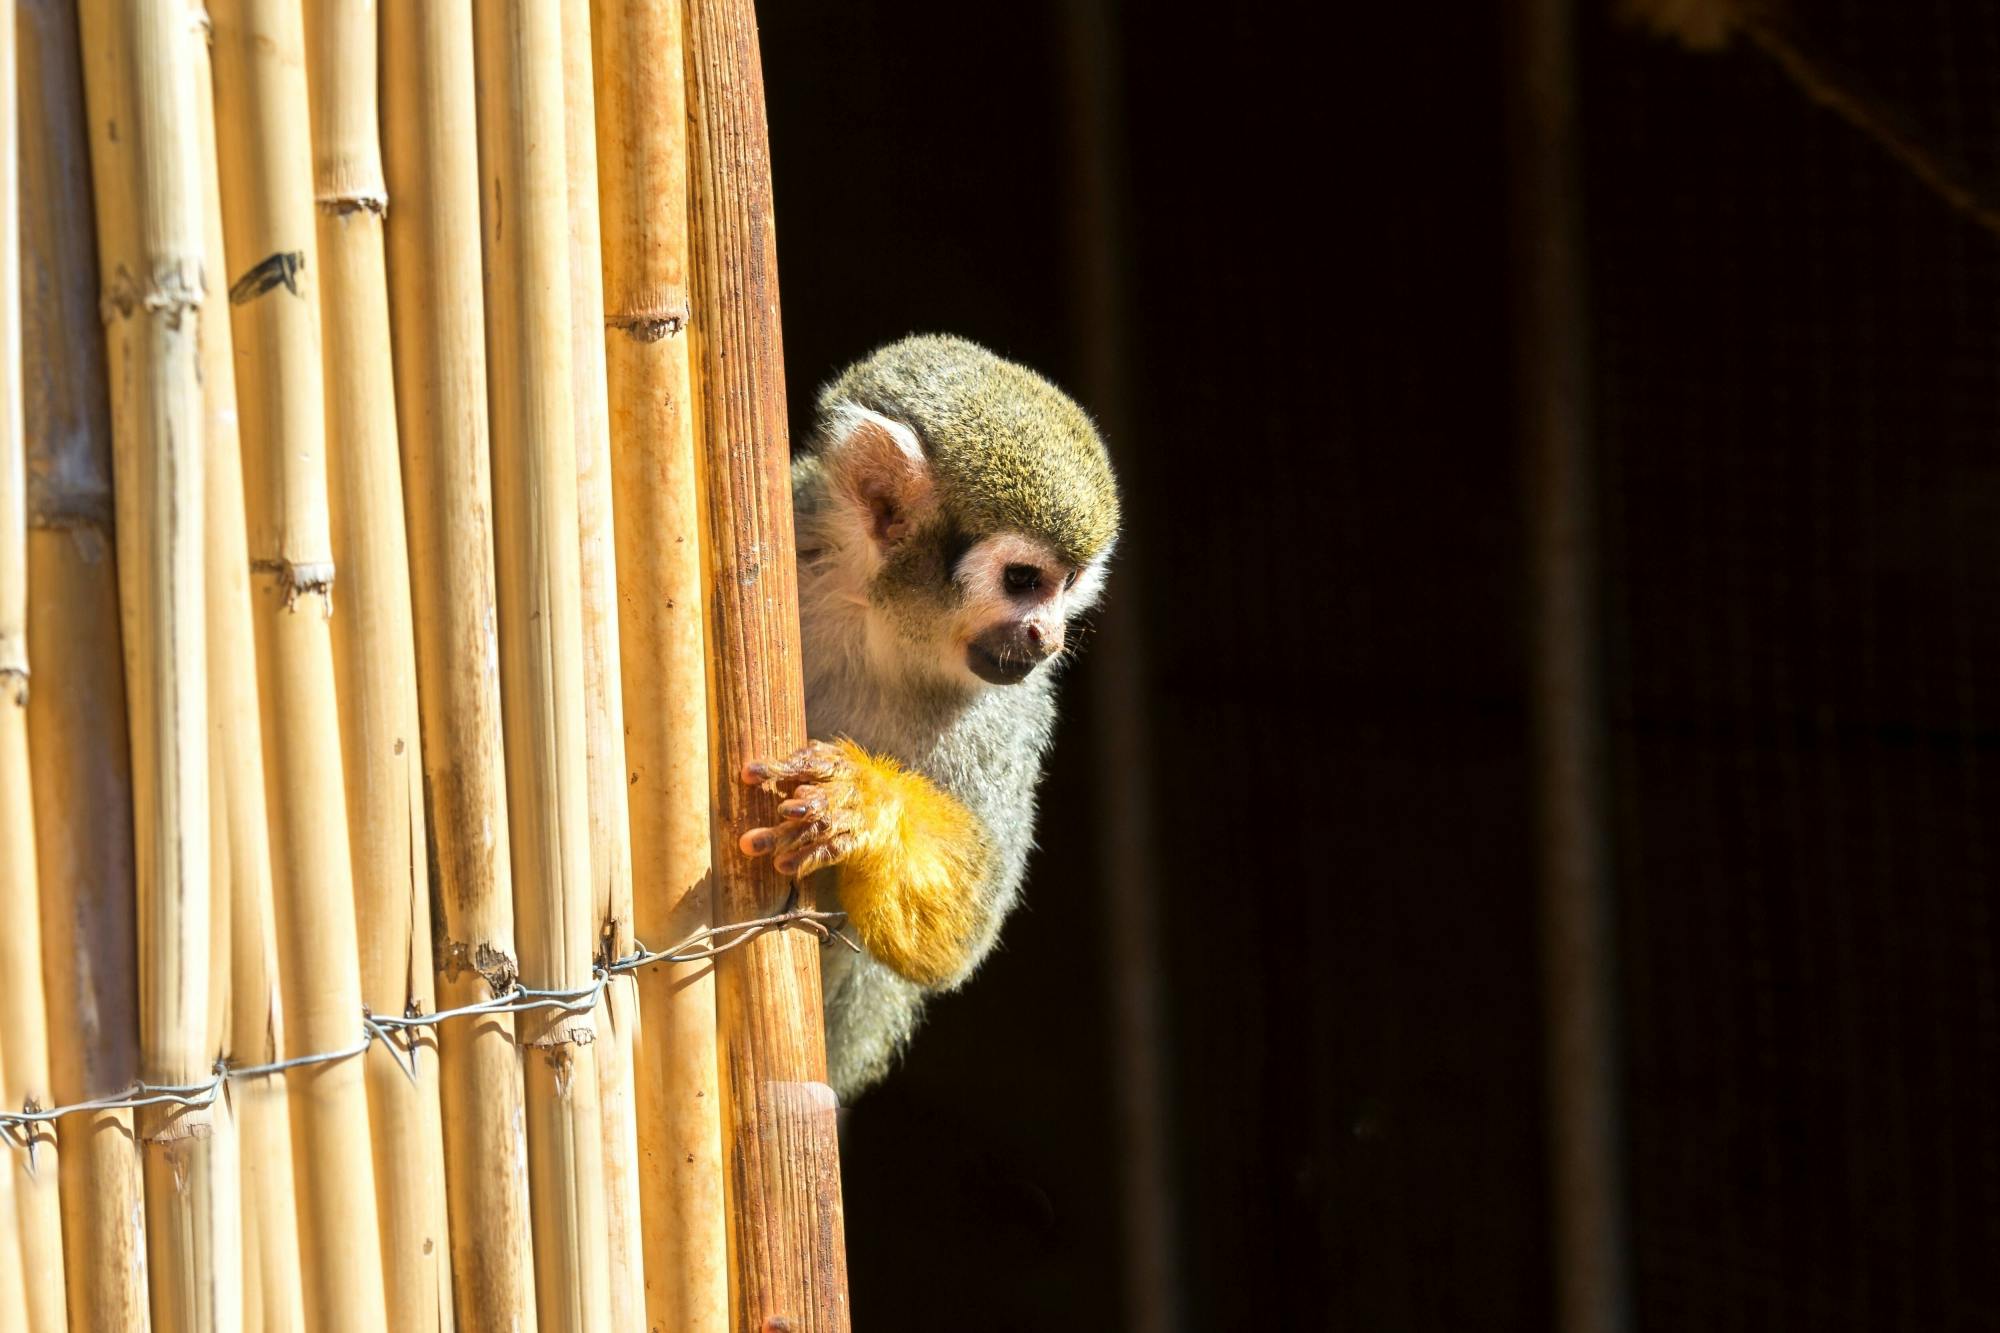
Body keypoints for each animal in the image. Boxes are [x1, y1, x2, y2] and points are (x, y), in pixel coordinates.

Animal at [740, 332, 1120, 1088]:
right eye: (1024, 580)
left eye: (1069, 584)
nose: (1049, 637)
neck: (875, 615)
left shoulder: (1009, 704)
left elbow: (955, 935)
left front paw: (864, 807)